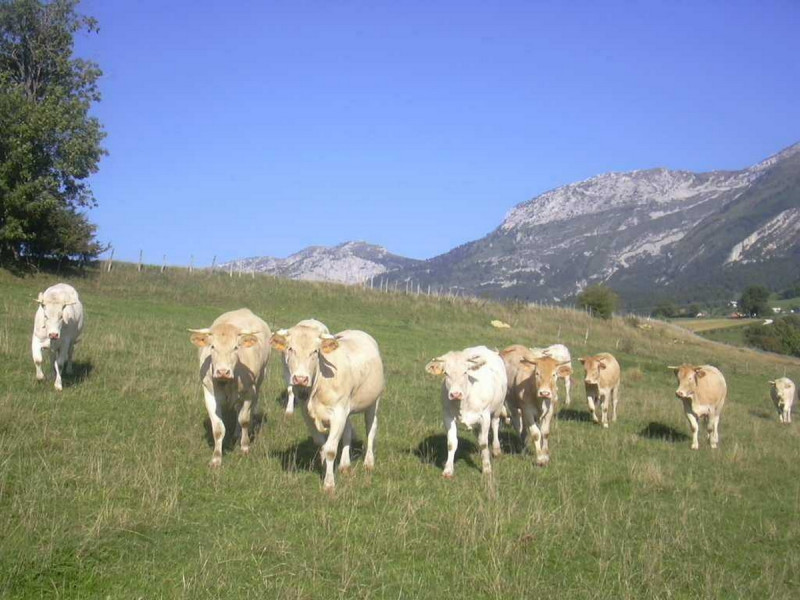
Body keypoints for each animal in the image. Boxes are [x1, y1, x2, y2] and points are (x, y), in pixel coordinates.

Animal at [188, 308, 271, 467]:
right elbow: (218, 428)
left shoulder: (249, 392)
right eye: (212, 346)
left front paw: (245, 447)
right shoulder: (210, 394)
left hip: (258, 383)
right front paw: (216, 458)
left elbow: (244, 419)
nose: (222, 371)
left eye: (236, 347)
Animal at [270, 325, 384, 493]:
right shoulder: (308, 414)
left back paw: (369, 462)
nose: (300, 379)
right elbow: (321, 444)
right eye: (290, 348)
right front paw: (325, 467)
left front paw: (329, 484)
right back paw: (345, 465)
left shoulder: (338, 414)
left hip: (373, 402)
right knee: (348, 432)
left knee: (371, 429)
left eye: (315, 351)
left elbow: (330, 450)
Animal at [425, 346, 507, 478]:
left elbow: (484, 443)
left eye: (465, 372)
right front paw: (448, 469)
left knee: (495, 425)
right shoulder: (448, 416)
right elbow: (451, 443)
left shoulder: (485, 416)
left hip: (498, 407)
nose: (455, 394)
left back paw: (496, 449)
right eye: (446, 373)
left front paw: (486, 468)